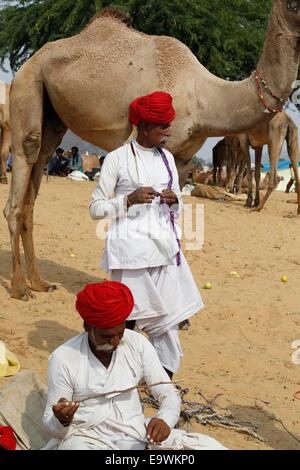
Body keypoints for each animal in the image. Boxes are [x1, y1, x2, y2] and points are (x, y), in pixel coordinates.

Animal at [4, 1, 300, 300]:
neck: (205, 98)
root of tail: (33, 58)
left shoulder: (182, 159)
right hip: (27, 82)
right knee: (25, 158)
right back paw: (19, 287)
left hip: (53, 114)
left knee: (38, 170)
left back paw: (39, 282)